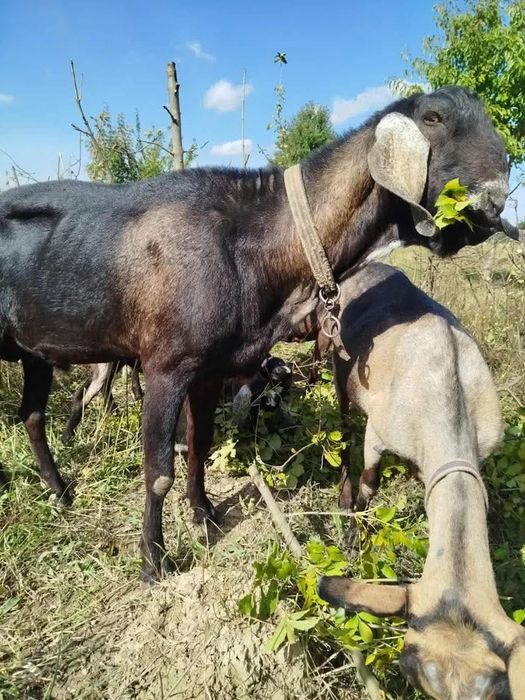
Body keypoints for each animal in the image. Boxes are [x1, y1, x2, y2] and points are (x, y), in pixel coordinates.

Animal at [0, 87, 517, 581]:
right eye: (433, 117)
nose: (496, 198)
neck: (250, 239)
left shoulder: (210, 370)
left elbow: (201, 443)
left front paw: (205, 515)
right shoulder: (166, 367)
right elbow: (158, 473)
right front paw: (153, 562)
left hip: (34, 352)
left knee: (32, 416)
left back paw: (60, 491)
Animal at [317, 262, 525, 700]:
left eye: (494, 691)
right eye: (410, 672)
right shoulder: (378, 435)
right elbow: (369, 485)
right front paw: (355, 537)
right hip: (336, 363)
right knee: (342, 420)